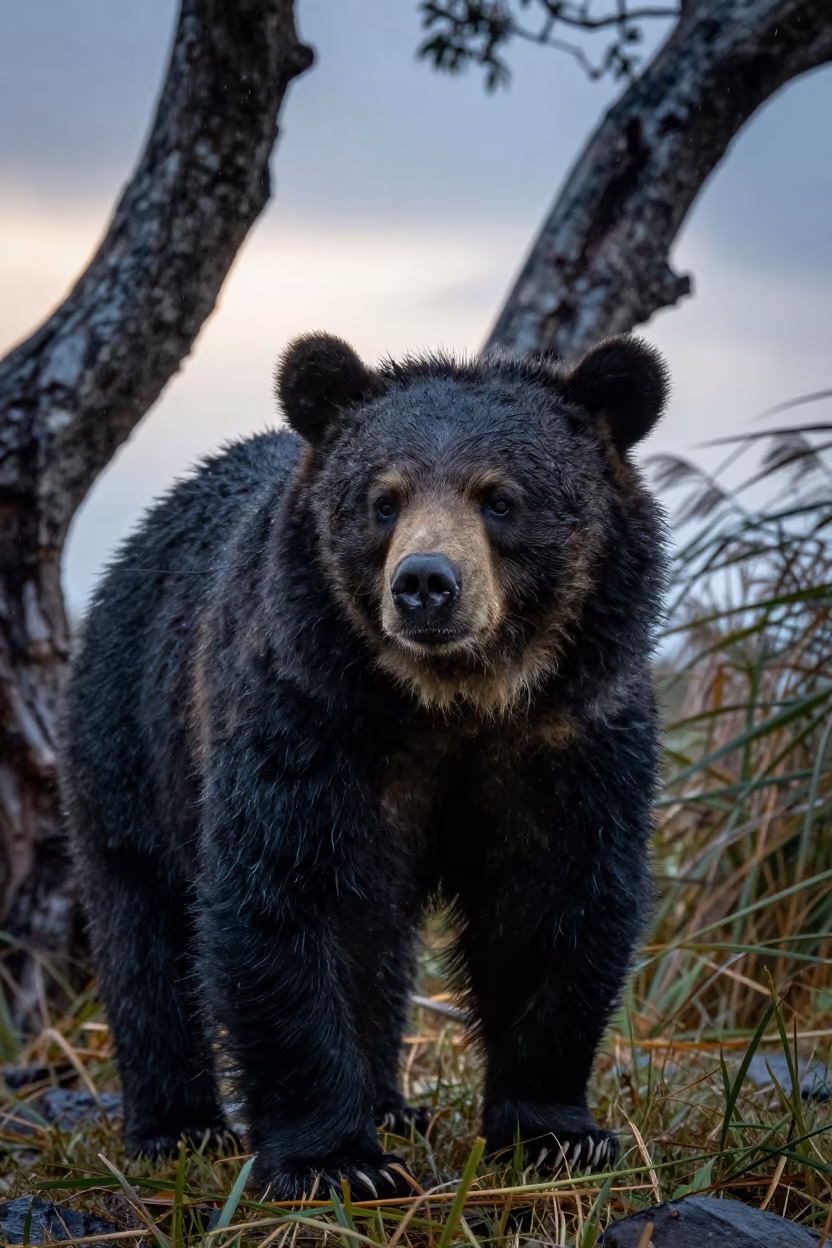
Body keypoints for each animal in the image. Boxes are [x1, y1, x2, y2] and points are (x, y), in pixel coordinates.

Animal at [60, 331, 668, 1199]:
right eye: (385, 500)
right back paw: (178, 1128)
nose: (426, 583)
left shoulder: (570, 735)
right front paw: (336, 1162)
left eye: (500, 498)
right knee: (144, 929)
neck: (449, 702)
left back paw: (391, 1105)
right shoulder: (306, 720)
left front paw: (556, 1134)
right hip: (130, 741)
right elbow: (285, 901)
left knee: (379, 947)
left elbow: (554, 903)